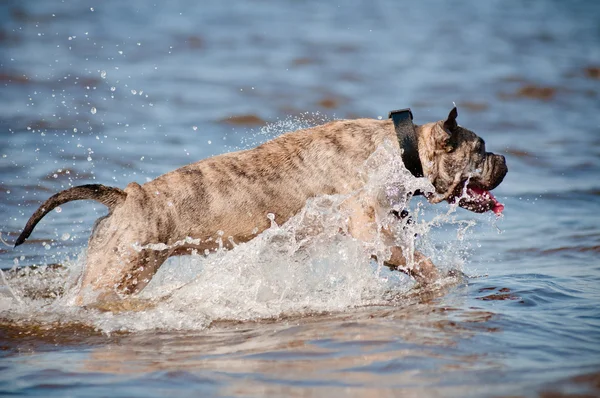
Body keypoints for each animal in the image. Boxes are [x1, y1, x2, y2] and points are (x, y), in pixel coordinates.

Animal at [14, 107, 506, 304]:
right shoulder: (371, 229)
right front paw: (442, 278)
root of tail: (127, 195)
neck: (400, 151)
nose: (504, 160)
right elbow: (416, 259)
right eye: (480, 149)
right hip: (120, 270)